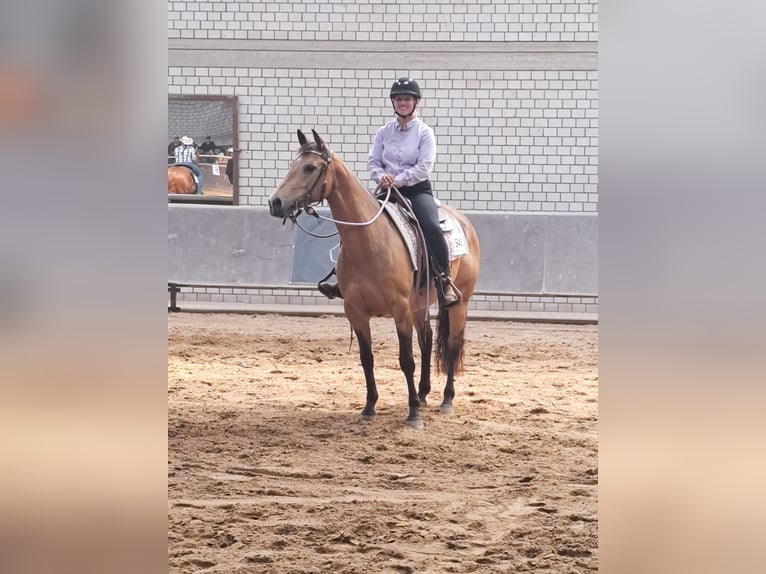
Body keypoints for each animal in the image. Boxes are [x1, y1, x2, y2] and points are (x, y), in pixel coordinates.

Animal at [269, 129, 480, 429]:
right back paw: (423, 393)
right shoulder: (355, 311)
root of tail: (464, 223)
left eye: (309, 167)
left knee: (451, 345)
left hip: (458, 302)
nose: (275, 203)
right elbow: (366, 358)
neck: (369, 242)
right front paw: (369, 407)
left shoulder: (400, 309)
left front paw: (413, 414)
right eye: (291, 165)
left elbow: (405, 360)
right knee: (427, 340)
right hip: (419, 304)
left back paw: (446, 400)